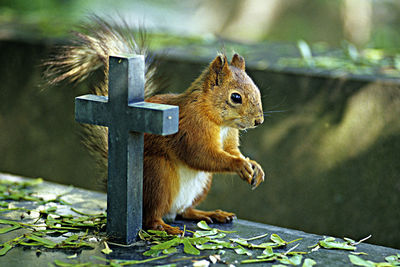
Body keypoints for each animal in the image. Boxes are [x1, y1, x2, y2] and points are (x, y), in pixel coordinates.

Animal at [45, 15, 264, 236]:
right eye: (235, 97)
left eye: (256, 90)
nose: (259, 121)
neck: (218, 121)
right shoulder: (191, 129)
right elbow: (200, 155)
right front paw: (239, 165)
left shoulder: (229, 136)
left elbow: (231, 151)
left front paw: (254, 166)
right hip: (159, 176)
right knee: (151, 217)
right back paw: (165, 227)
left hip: (202, 185)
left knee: (184, 212)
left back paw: (209, 214)